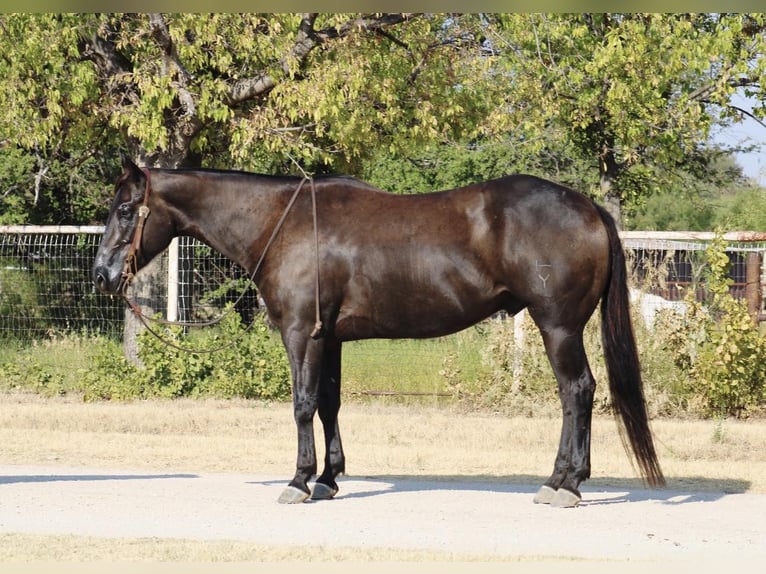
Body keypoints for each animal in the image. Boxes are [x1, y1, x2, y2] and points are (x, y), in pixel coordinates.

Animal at [93, 156, 664, 508]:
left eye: (125, 208)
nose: (101, 275)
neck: (282, 222)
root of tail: (588, 207)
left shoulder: (301, 333)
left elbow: (301, 404)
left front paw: (298, 480)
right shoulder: (330, 338)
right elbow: (328, 404)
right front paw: (327, 479)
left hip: (558, 327)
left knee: (577, 392)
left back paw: (563, 483)